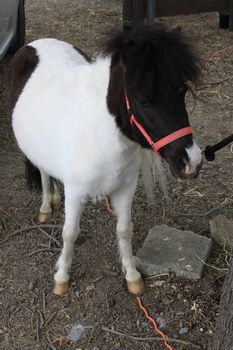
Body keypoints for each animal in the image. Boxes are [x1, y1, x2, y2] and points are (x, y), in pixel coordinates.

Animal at [9, 24, 202, 296]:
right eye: (144, 100)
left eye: (181, 91)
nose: (192, 161)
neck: (98, 132)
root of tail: (35, 44)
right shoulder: (75, 192)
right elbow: (70, 233)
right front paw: (61, 277)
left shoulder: (125, 189)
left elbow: (125, 230)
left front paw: (132, 276)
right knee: (44, 174)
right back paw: (46, 207)